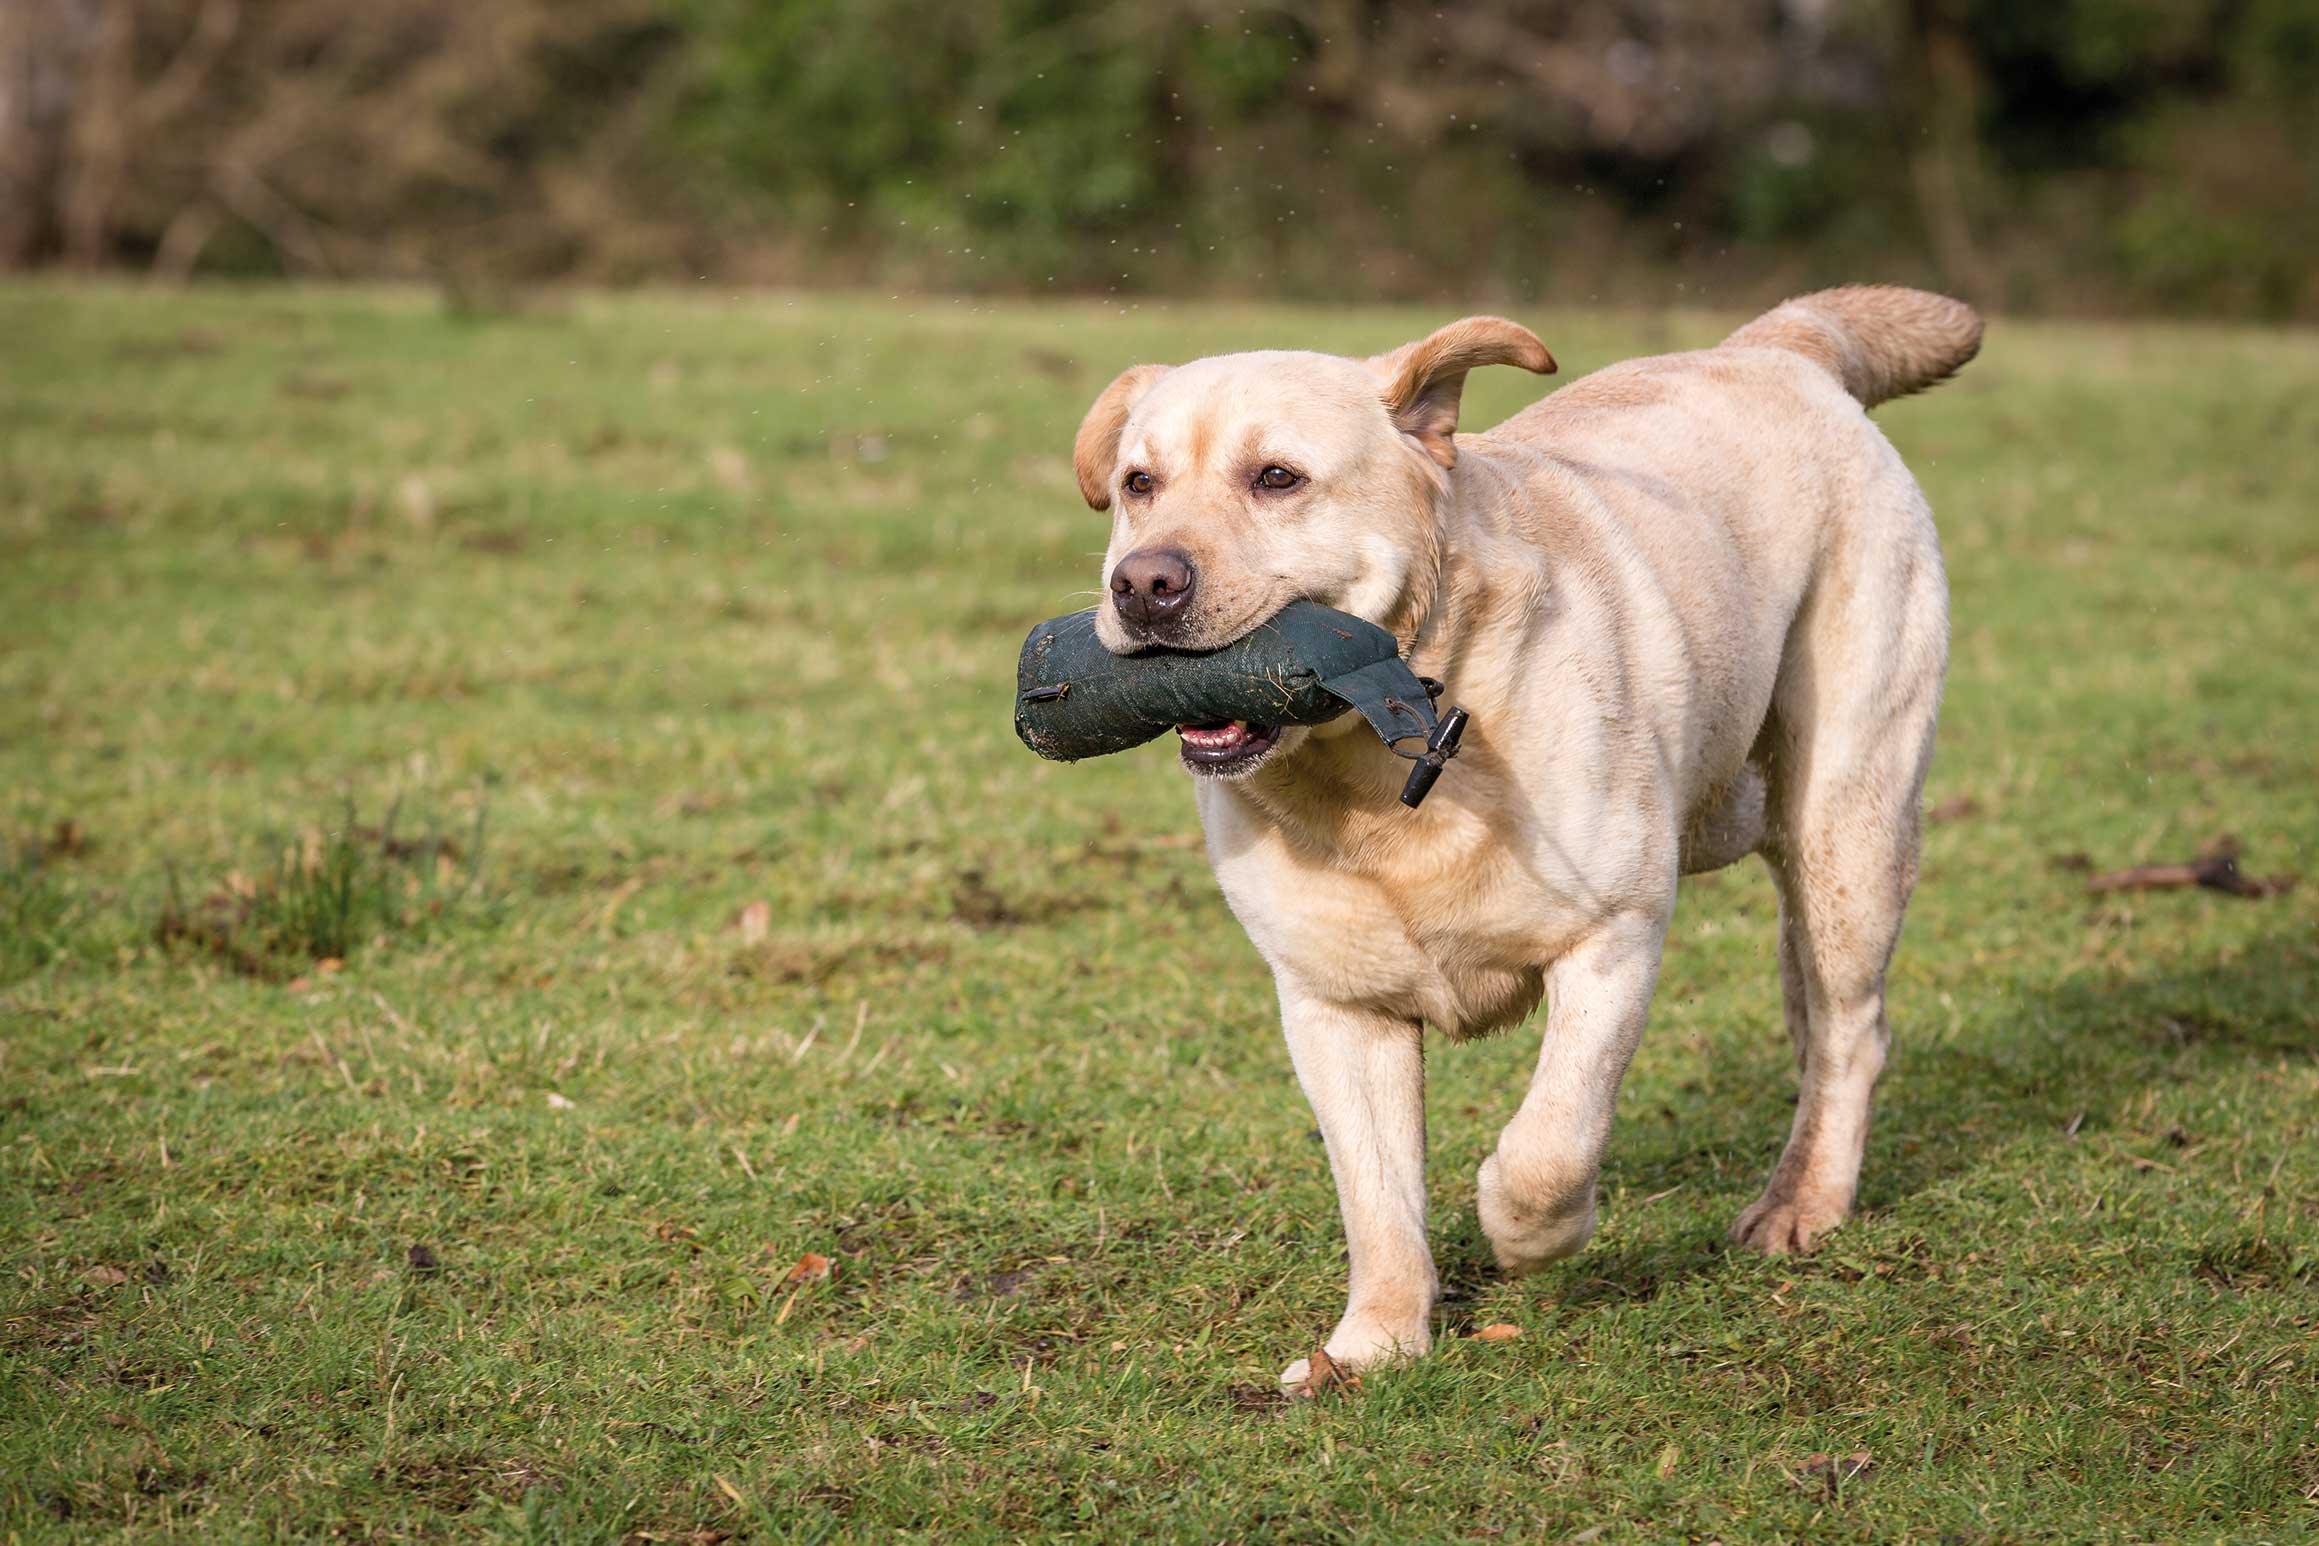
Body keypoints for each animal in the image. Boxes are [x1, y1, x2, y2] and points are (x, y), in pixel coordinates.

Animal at [1066, 283, 1975, 1381]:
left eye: (1276, 477)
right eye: (1138, 484)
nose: (1141, 584)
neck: (1379, 764)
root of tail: (1778, 345)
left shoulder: (1613, 936)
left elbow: (1551, 1139)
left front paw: (1525, 1232)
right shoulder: (1334, 1005)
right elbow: (1376, 1196)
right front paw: (1372, 1345)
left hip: (1848, 822)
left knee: (1851, 1027)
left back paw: (1802, 1201)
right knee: (1806, 1003)